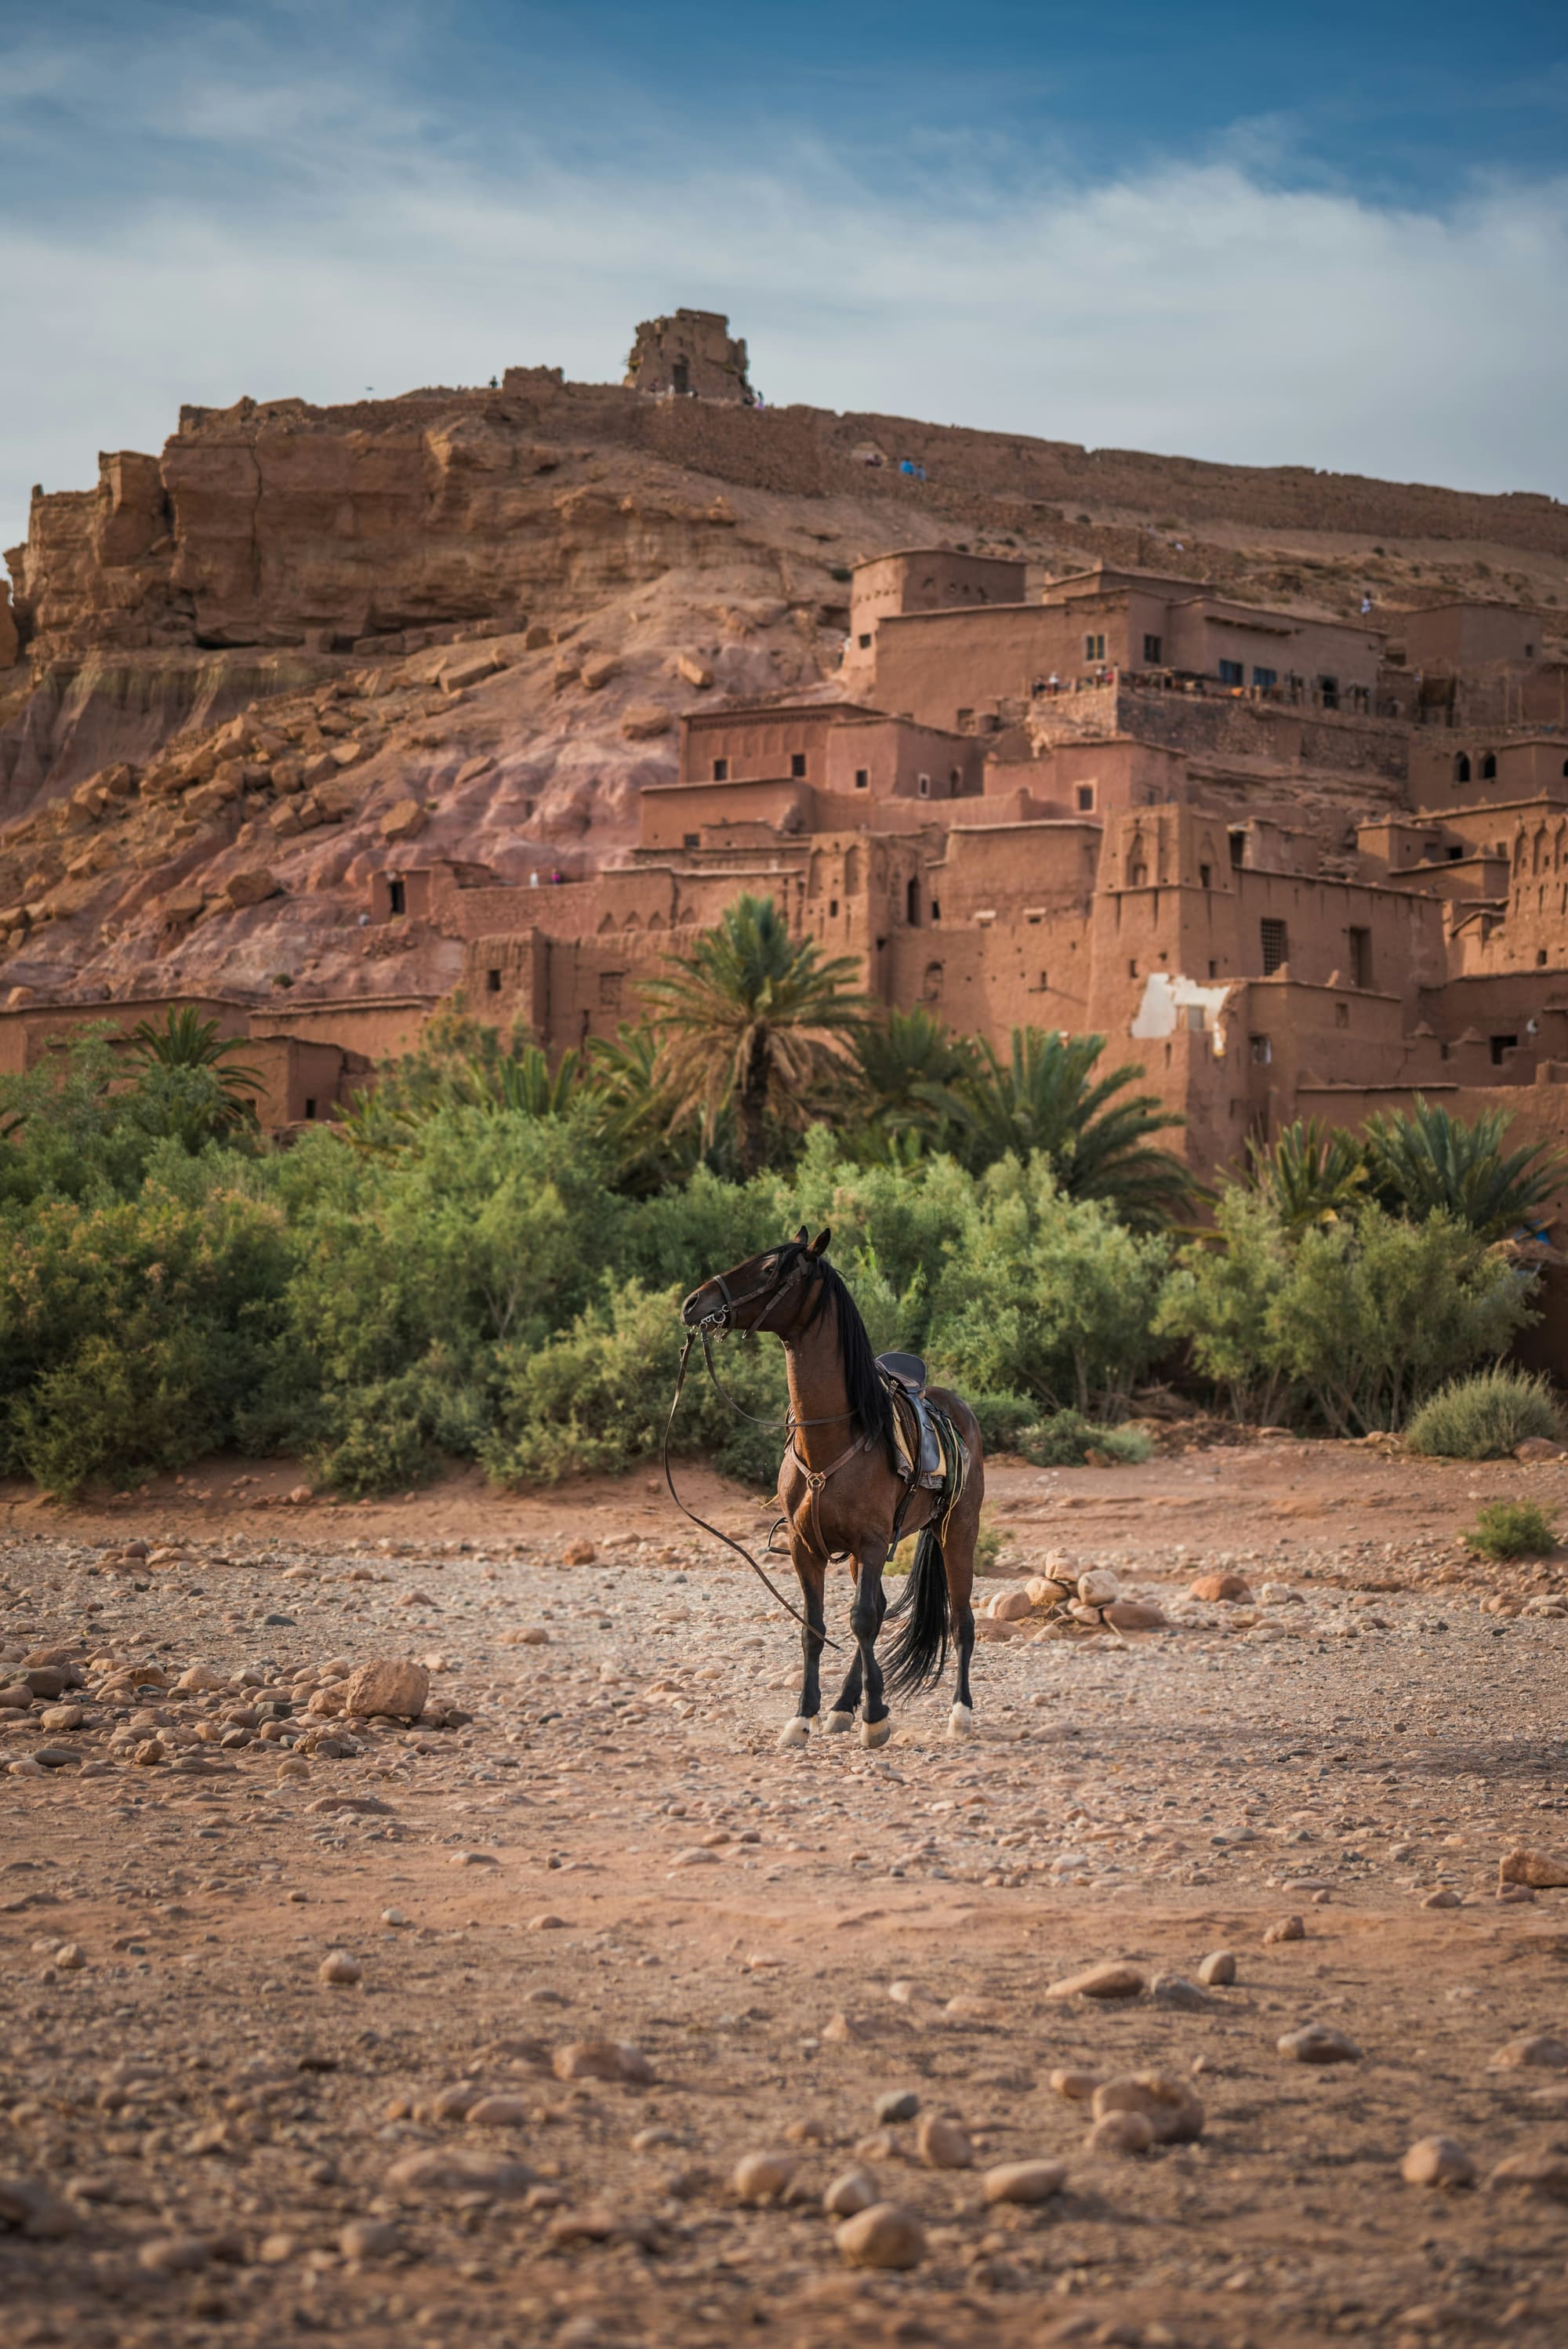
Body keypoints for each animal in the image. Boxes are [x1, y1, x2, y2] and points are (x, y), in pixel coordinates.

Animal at [680, 1226, 985, 1750]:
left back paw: (960, 1714)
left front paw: (876, 1719)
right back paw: (844, 1707)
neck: (834, 1435)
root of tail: (958, 1409)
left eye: (769, 1269)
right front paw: (805, 1717)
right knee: (877, 1613)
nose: (694, 1302)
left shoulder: (872, 1541)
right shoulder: (809, 1548)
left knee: (960, 1620)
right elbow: (816, 1627)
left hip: (957, 1530)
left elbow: (860, 1620)